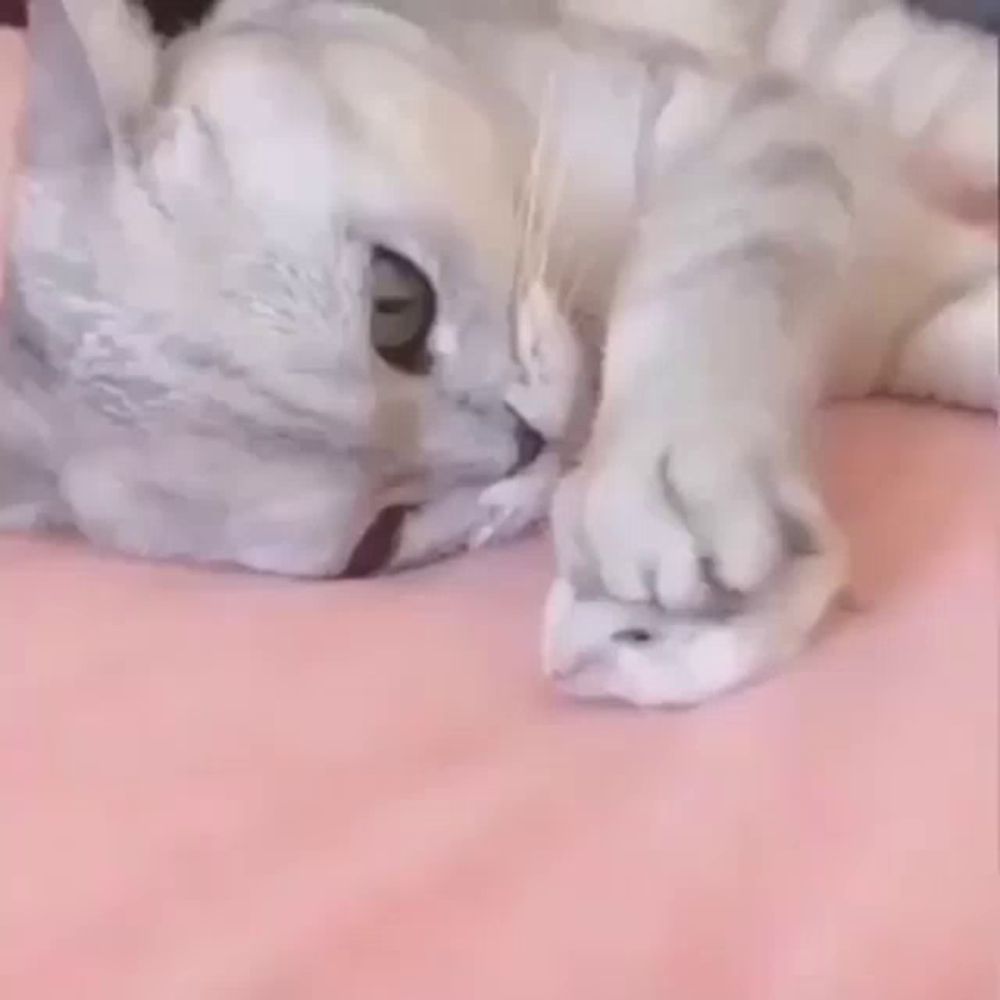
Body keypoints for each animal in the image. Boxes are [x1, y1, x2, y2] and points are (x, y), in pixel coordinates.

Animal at [3, 0, 996, 708]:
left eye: (395, 304)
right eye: (379, 541)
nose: (523, 448)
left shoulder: (729, 115)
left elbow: (721, 261)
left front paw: (667, 478)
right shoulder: (911, 316)